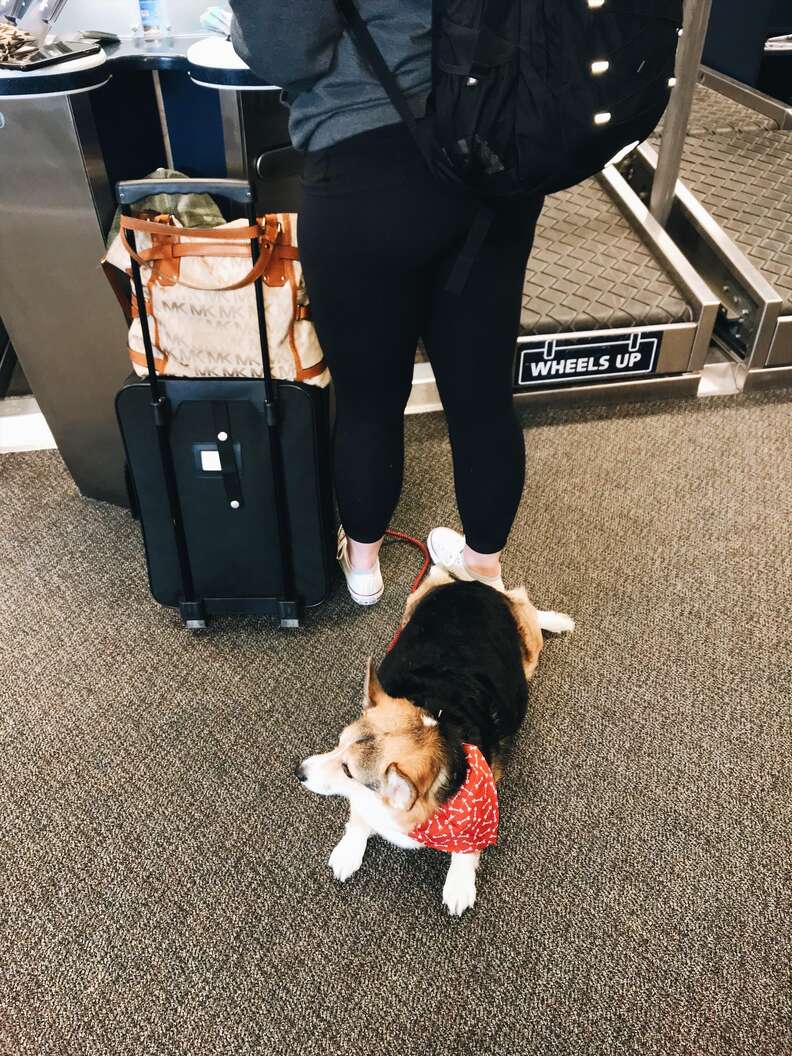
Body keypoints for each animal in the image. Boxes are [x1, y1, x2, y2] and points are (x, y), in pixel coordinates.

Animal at [295, 570, 574, 916]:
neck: (437, 723)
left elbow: (467, 848)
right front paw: (348, 851)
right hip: (415, 603)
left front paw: (459, 884)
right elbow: (358, 817)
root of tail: (473, 587)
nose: (298, 771)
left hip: (529, 654)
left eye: (348, 770)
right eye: (337, 744)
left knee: (523, 600)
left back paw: (558, 620)